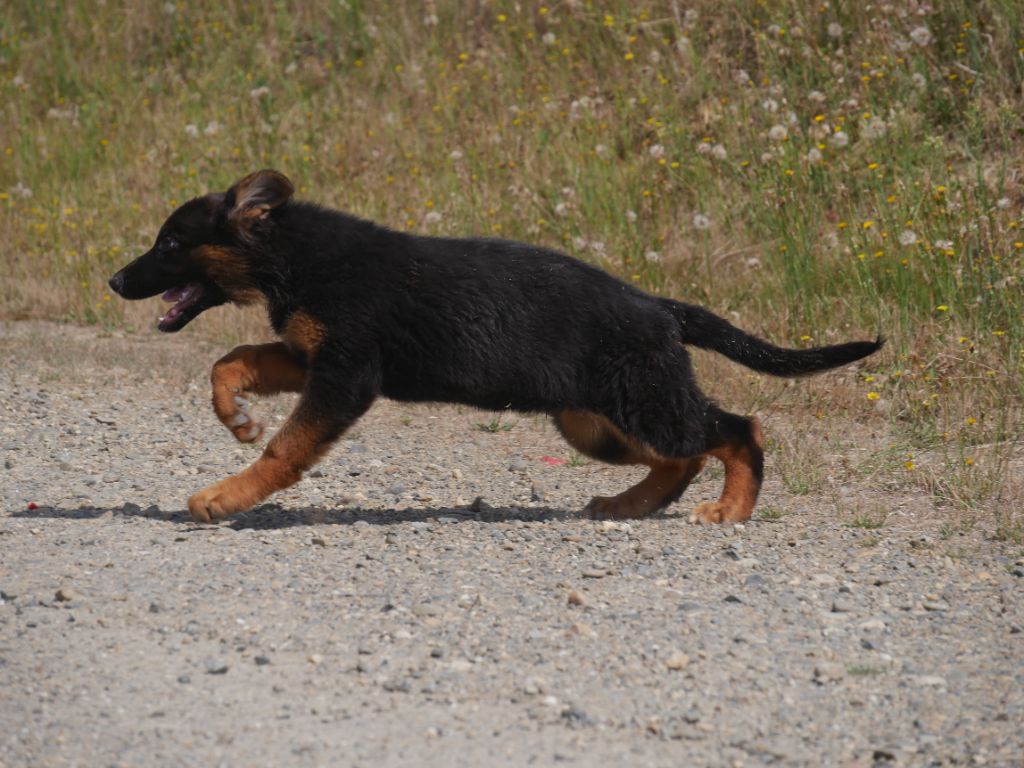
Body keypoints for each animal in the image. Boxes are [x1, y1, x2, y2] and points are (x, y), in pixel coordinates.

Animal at [110, 171, 880, 528]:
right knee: (684, 455)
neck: (295, 256)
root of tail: (660, 306)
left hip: (642, 402)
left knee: (738, 430)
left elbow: (284, 451)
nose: (114, 282)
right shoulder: (309, 358)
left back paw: (731, 511)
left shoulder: (344, 375)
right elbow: (231, 360)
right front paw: (234, 416)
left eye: (170, 244)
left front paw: (225, 496)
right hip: (598, 420)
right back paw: (631, 504)